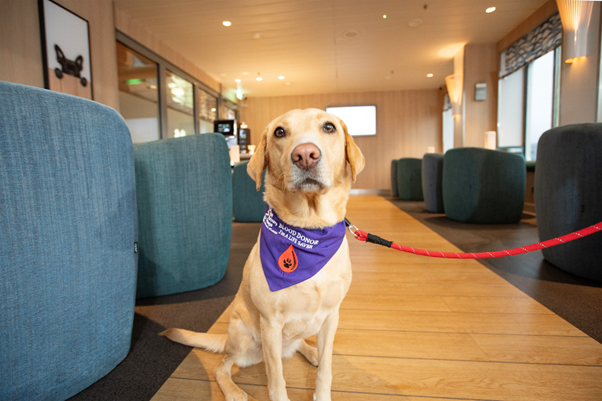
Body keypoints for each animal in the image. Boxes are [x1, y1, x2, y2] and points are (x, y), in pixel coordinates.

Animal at [159, 108, 364, 398]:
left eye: (329, 127)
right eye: (279, 132)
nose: (305, 155)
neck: (309, 230)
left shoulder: (331, 316)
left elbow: (325, 371)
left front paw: (322, 388)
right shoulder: (270, 323)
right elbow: (276, 378)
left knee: (296, 345)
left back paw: (311, 351)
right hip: (244, 341)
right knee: (223, 367)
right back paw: (234, 392)